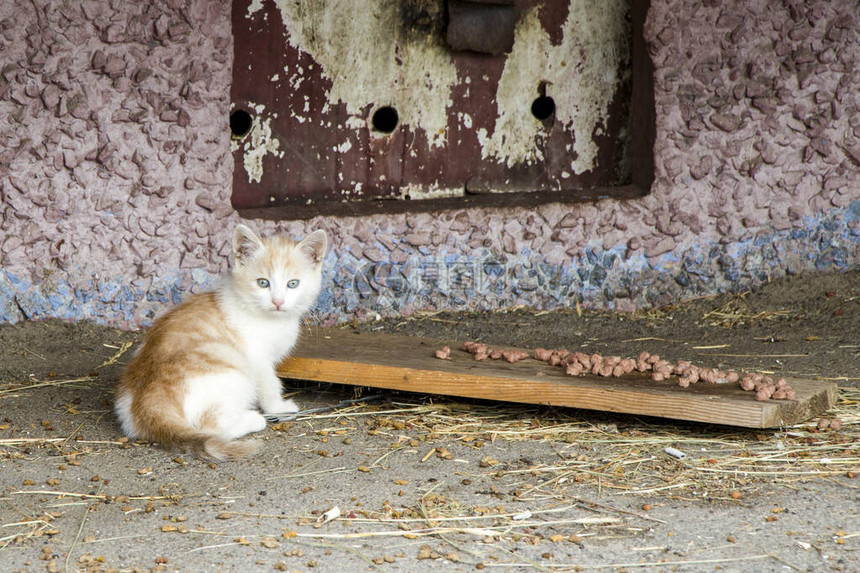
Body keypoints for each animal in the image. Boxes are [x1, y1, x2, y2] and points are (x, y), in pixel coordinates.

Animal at [113, 223, 326, 460]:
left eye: (293, 284)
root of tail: (146, 402)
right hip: (232, 371)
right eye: (263, 283)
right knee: (212, 424)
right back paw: (252, 419)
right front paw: (278, 408)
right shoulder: (257, 359)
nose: (278, 301)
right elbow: (269, 384)